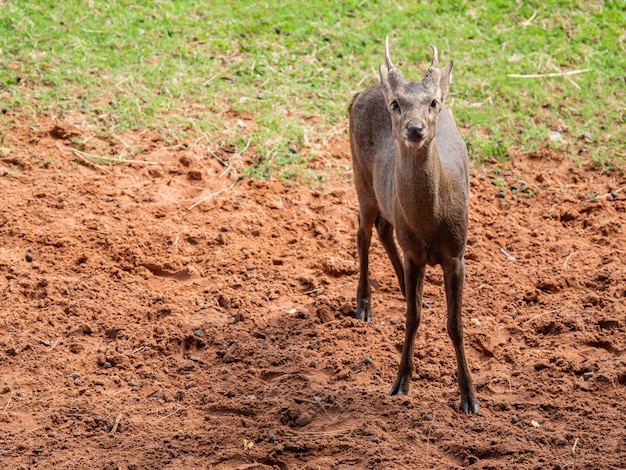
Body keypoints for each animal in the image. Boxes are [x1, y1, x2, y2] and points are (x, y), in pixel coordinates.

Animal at [346, 37, 478, 414]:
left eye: (433, 102)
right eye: (396, 104)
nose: (415, 129)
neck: (431, 224)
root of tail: (359, 94)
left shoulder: (457, 254)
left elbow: (455, 324)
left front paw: (469, 397)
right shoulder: (416, 254)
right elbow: (412, 319)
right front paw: (400, 383)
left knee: (383, 229)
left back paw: (405, 290)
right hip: (362, 178)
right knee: (362, 231)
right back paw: (364, 305)